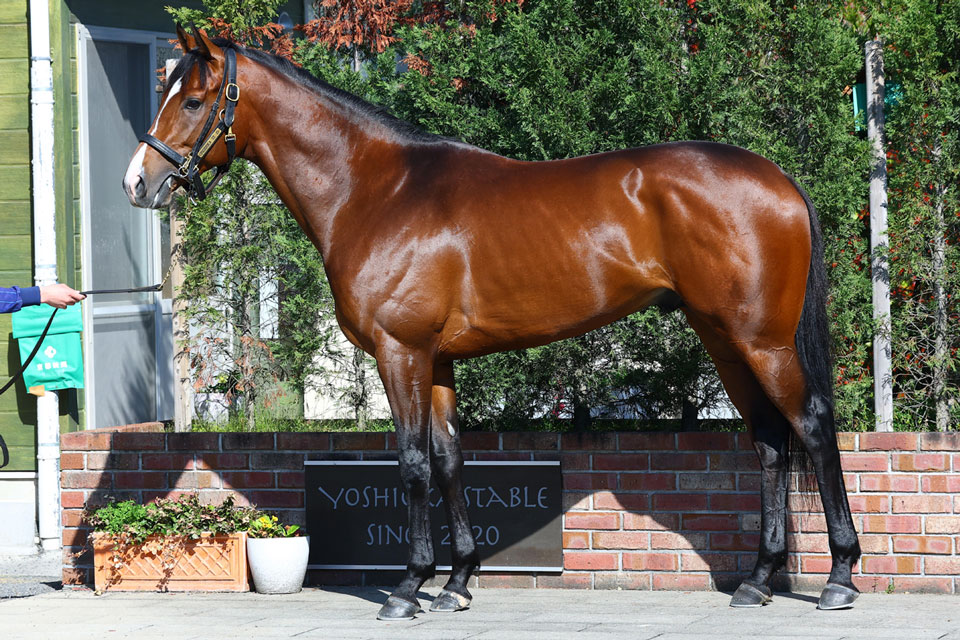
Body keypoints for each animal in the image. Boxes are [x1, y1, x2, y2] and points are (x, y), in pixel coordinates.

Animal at [123, 26, 861, 617]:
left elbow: (413, 463)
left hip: (763, 341)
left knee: (812, 426)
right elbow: (451, 460)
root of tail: (781, 181)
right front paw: (456, 583)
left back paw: (839, 578)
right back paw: (758, 579)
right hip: (725, 340)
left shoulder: (400, 352)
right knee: (769, 440)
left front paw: (407, 588)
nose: (137, 182)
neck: (377, 191)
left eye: (192, 101)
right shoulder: (438, 360)